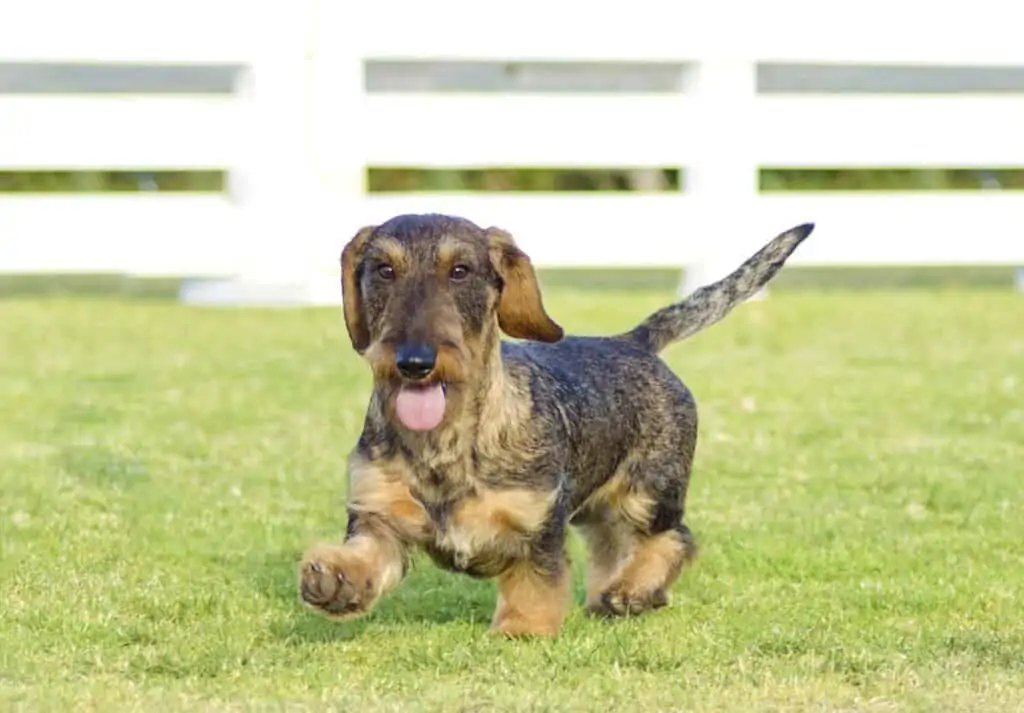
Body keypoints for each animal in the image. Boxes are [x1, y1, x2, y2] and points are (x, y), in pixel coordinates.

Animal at [299, 212, 815, 635]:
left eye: (460, 271)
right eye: (384, 270)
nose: (414, 363)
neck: (447, 441)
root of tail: (635, 341)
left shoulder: (539, 525)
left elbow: (536, 582)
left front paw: (521, 629)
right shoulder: (378, 515)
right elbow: (367, 555)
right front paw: (335, 580)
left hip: (649, 491)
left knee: (673, 539)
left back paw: (632, 590)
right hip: (599, 508)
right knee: (614, 547)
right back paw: (617, 594)